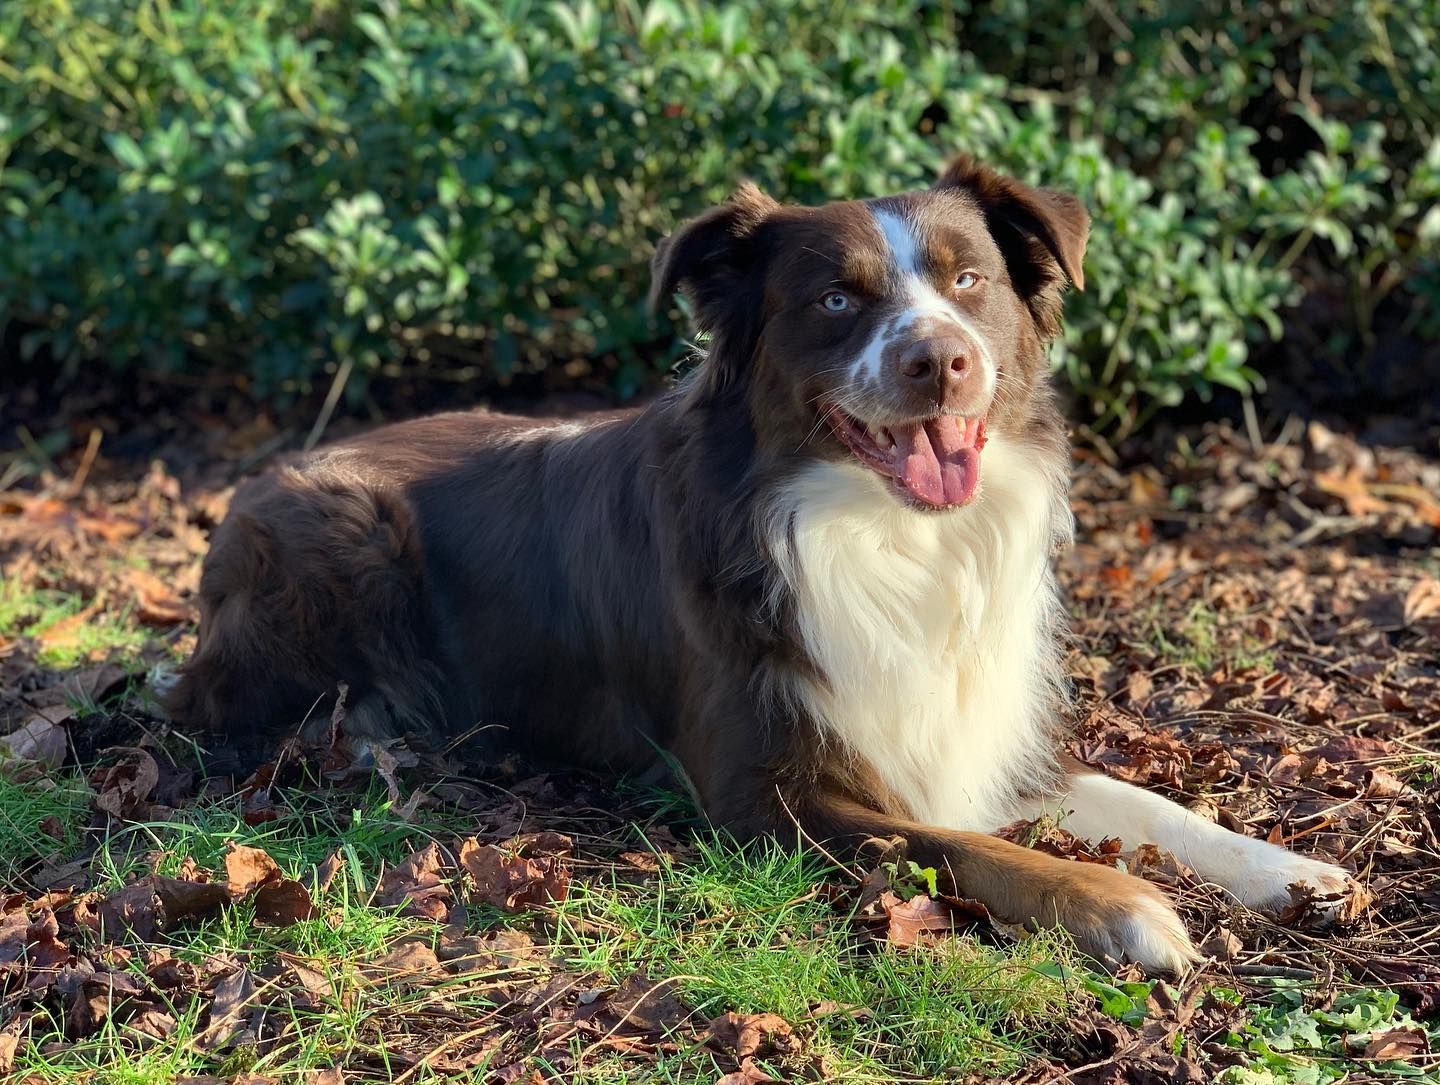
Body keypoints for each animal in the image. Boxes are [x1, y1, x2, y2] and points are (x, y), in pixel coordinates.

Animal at [165, 158, 1347, 962]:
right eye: (836, 299)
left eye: (970, 282)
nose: (941, 360)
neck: (889, 537)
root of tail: (266, 473)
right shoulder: (764, 794)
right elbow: (961, 846)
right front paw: (1127, 907)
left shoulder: (975, 730)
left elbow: (1129, 794)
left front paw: (1294, 869)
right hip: (346, 537)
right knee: (237, 715)